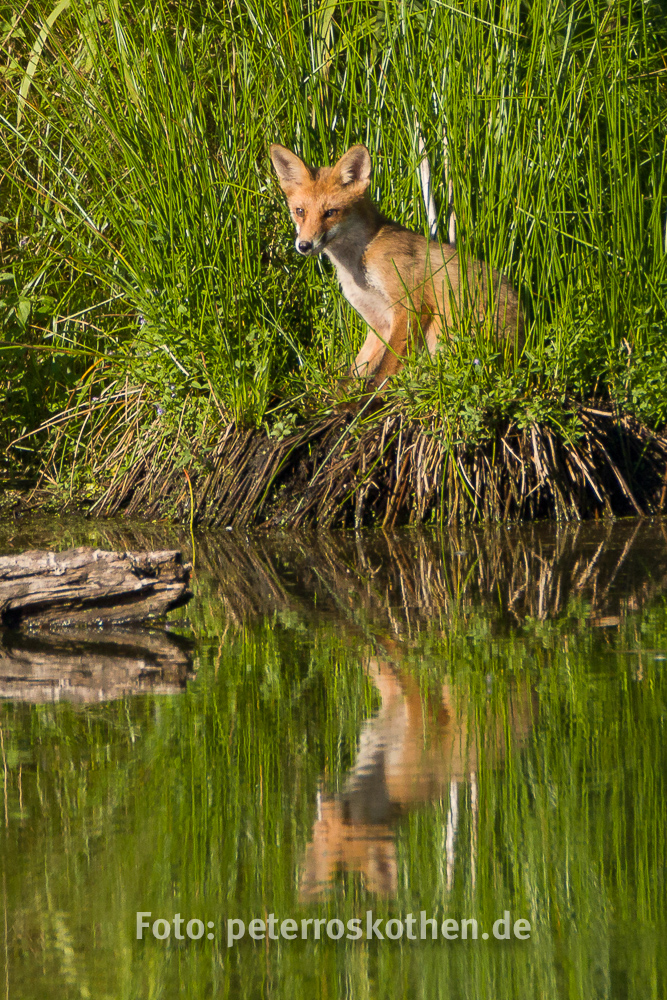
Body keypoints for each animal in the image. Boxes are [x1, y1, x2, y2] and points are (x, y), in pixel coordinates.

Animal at [270, 143, 520, 384]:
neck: (360, 262)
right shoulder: (379, 322)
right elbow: (354, 373)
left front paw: (373, 396)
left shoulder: (410, 304)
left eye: (330, 213)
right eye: (300, 211)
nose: (304, 245)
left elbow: (385, 370)